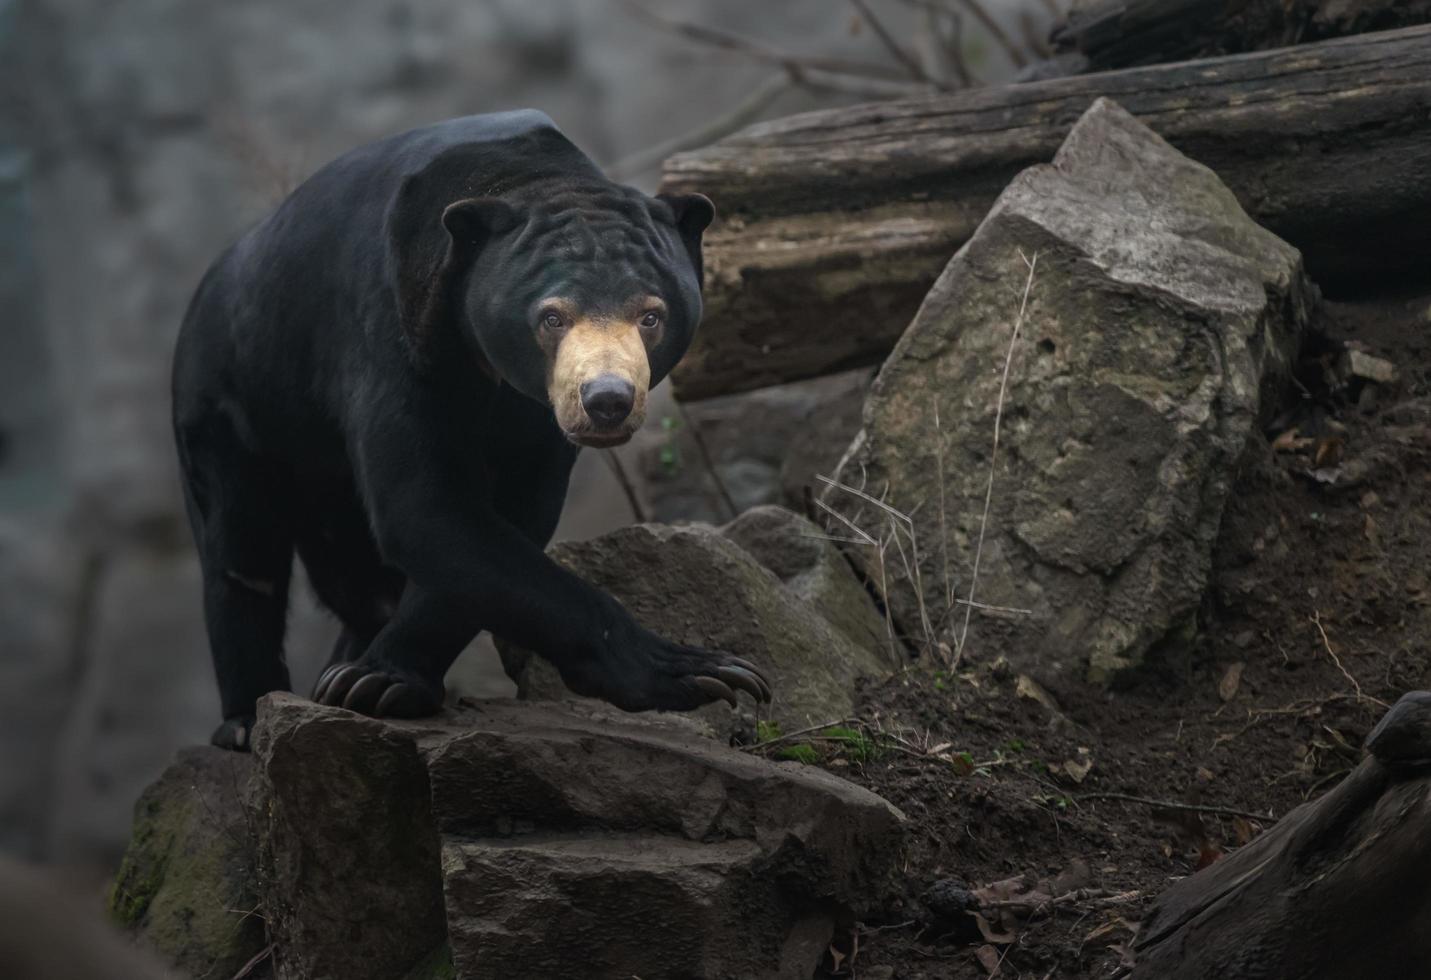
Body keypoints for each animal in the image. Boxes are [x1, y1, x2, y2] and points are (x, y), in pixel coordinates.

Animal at [174, 108, 778, 749]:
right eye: (551, 317)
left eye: (651, 316)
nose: (607, 401)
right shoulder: (396, 339)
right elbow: (426, 511)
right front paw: (706, 673)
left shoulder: (537, 420)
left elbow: (498, 528)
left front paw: (370, 682)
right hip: (232, 405)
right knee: (242, 558)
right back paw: (245, 719)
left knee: (360, 581)